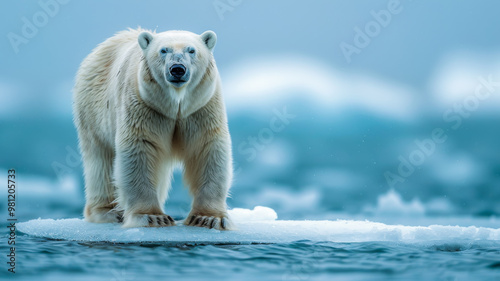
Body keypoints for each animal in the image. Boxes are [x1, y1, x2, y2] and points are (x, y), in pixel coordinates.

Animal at [73, 27, 233, 230]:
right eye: (163, 50)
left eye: (191, 50)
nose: (177, 69)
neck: (175, 104)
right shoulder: (144, 105)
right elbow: (139, 149)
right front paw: (152, 217)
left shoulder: (201, 107)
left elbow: (207, 149)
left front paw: (209, 218)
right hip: (92, 110)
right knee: (100, 159)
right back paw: (108, 212)